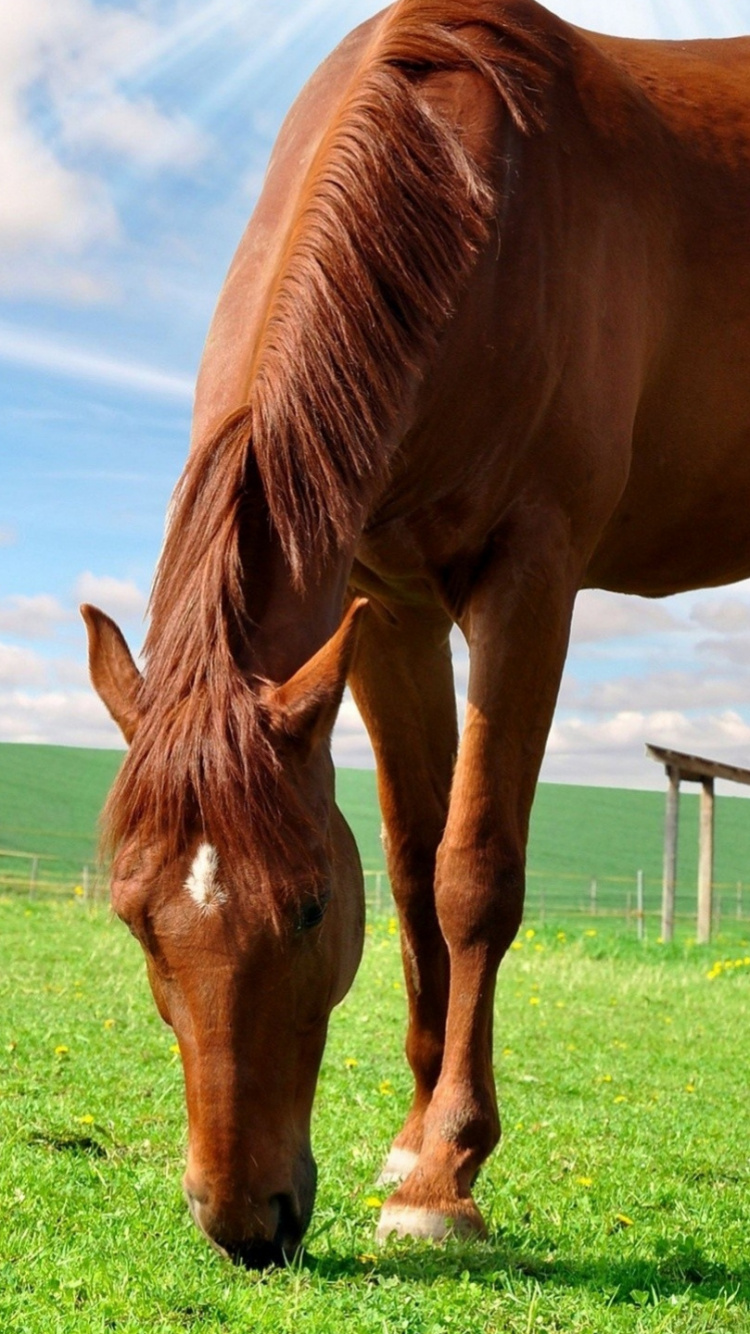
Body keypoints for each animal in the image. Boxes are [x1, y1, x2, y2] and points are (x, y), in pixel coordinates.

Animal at [80, 0, 747, 1259]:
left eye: (305, 905)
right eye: (135, 919)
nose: (244, 1221)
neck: (481, 201)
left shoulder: (530, 576)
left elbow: (471, 869)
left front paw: (444, 1176)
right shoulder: (386, 604)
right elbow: (409, 862)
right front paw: (412, 1137)